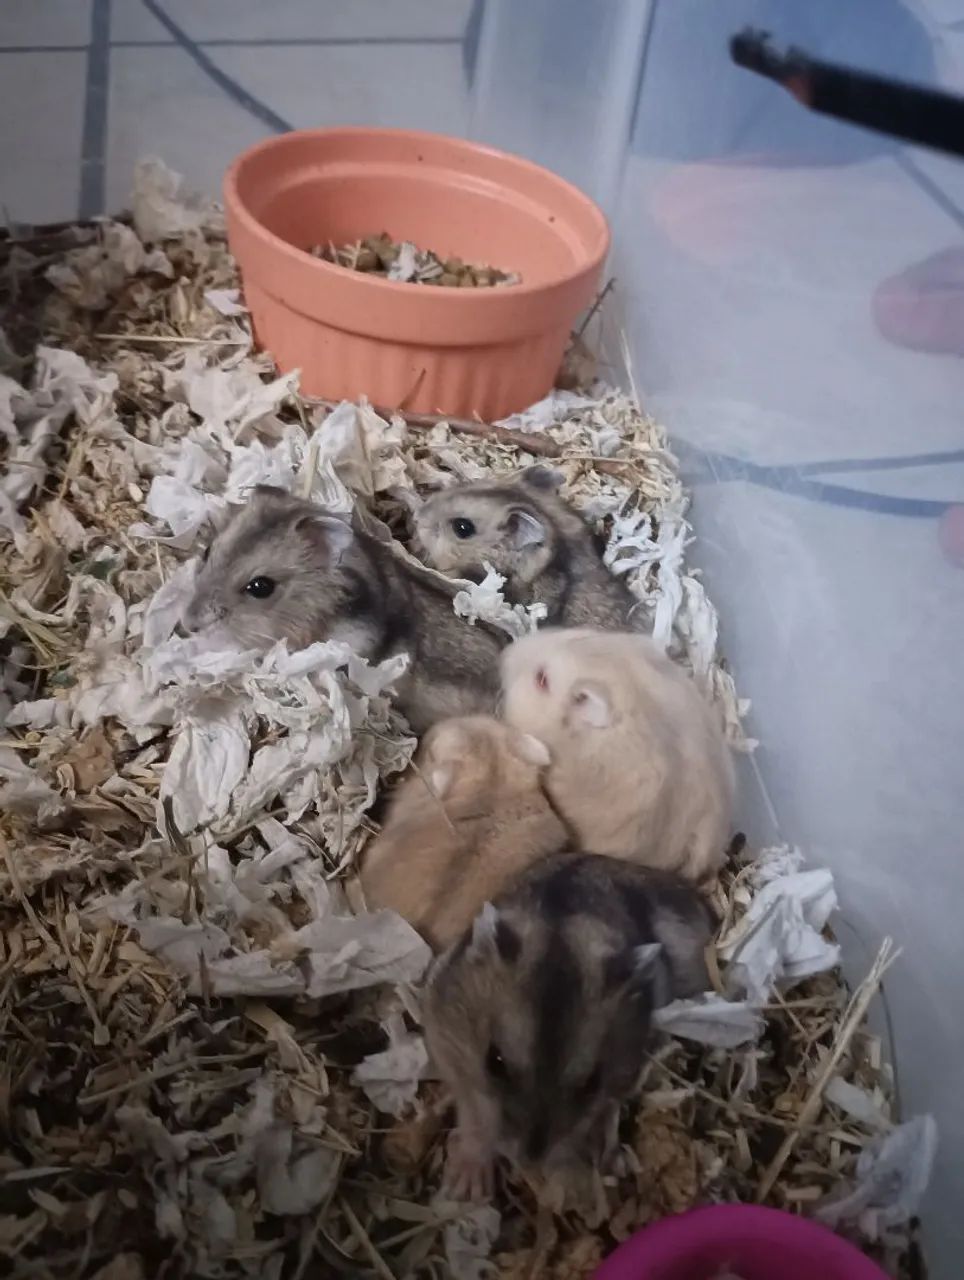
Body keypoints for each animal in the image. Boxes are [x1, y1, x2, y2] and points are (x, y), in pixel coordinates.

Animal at [422, 852, 712, 1198]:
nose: (530, 1161)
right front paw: (465, 1188)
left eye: (591, 1082)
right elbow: (472, 1112)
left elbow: (601, 1110)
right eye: (494, 1062)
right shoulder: (445, 1044)